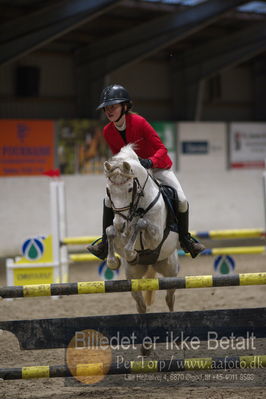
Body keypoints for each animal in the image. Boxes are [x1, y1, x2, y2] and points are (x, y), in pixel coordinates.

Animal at [103, 144, 180, 316]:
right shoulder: (119, 233)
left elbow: (141, 224)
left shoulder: (156, 237)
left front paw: (131, 253)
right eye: (108, 191)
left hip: (170, 272)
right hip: (133, 276)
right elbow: (110, 231)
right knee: (141, 305)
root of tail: (151, 264)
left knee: (170, 298)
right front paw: (113, 261)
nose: (120, 224)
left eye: (130, 189)